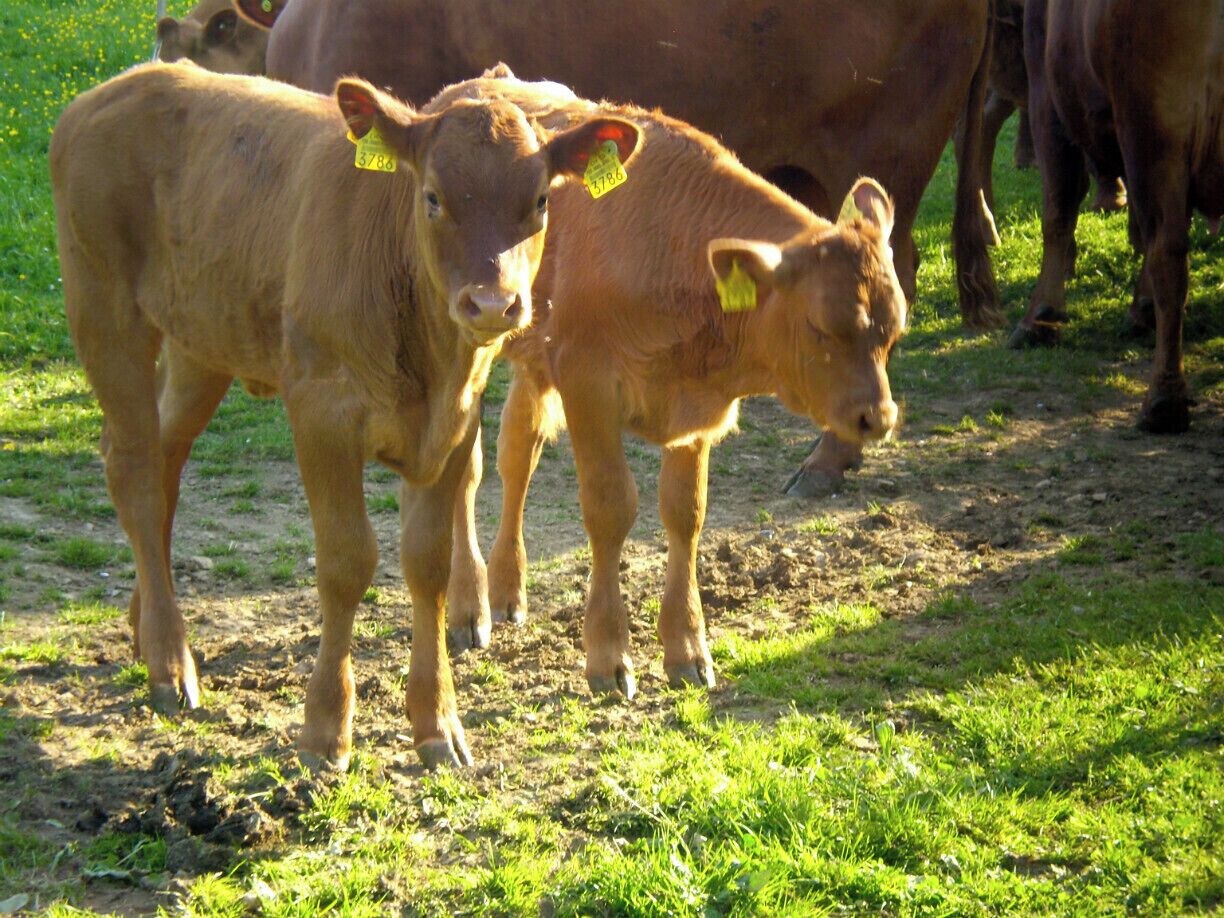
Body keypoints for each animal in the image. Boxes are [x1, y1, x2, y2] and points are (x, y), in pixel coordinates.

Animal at [49, 61, 640, 769]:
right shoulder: (321, 413)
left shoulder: (456, 421)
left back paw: (146, 628)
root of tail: (119, 86)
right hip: (104, 309)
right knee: (133, 470)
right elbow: (345, 562)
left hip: (200, 343)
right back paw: (170, 663)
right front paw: (326, 729)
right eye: (433, 197)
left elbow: (428, 563)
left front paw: (436, 723)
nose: (494, 305)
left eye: (542, 200)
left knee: (164, 461)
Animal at [425, 77, 904, 693]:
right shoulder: (588, 385)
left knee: (517, 453)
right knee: (467, 474)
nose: (878, 417)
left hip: (532, 366)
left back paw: (508, 589)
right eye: (821, 326)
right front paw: (608, 656)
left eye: (894, 329)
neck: (670, 244)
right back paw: (470, 607)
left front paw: (686, 648)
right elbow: (610, 508)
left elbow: (685, 513)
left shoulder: (696, 405)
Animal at [1012, 0, 1223, 432]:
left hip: (1151, 131)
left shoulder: (1046, 95)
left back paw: (1163, 400)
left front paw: (1040, 316)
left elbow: (1059, 207)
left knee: (1168, 255)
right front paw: (1142, 309)